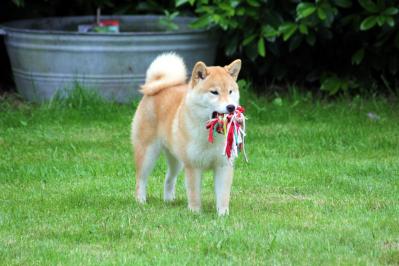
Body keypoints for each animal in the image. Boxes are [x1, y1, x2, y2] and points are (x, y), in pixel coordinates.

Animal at [131, 53, 242, 215]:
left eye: (230, 91)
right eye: (214, 92)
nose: (231, 107)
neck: (210, 135)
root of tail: (156, 86)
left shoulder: (223, 165)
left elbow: (223, 195)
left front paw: (223, 215)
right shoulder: (193, 166)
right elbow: (194, 193)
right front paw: (195, 213)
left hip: (176, 160)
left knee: (169, 178)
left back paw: (169, 200)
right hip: (148, 154)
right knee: (141, 179)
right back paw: (140, 201)